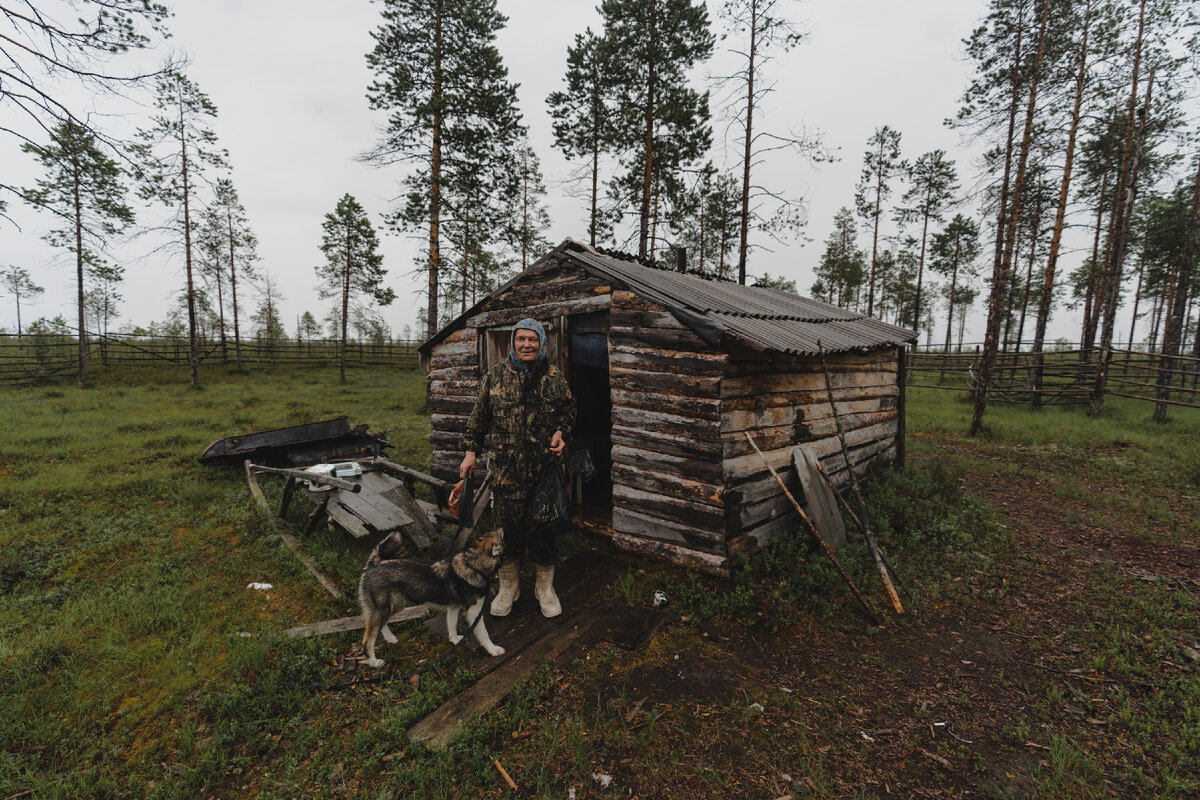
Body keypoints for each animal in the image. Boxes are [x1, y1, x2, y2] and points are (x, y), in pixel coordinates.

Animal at [355, 527, 506, 666]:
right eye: (499, 535)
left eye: (494, 532)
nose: (500, 527)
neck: (472, 565)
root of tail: (374, 563)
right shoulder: (474, 612)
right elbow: (484, 635)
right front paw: (493, 649)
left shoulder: (453, 606)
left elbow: (452, 625)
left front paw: (454, 640)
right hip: (382, 609)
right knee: (367, 640)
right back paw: (374, 662)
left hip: (393, 606)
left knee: (381, 625)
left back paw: (390, 638)